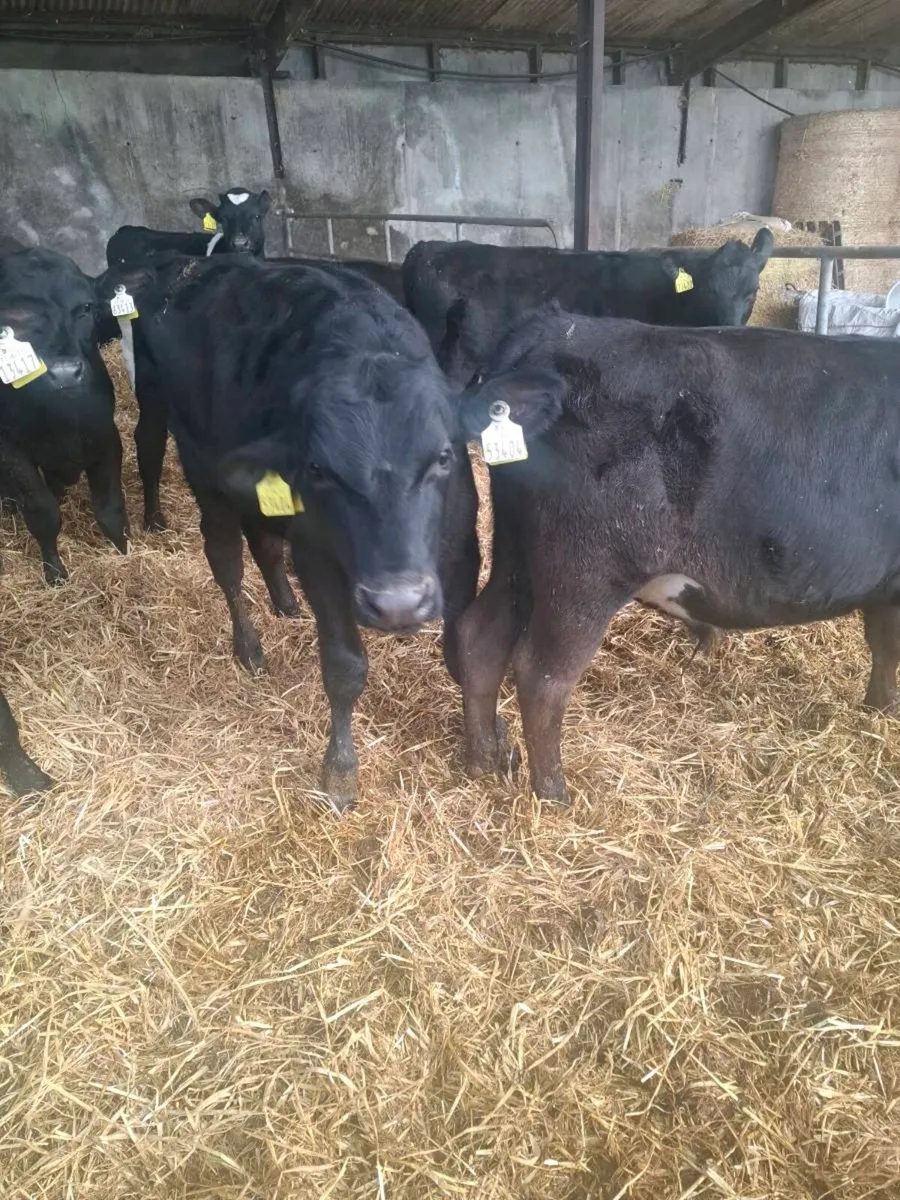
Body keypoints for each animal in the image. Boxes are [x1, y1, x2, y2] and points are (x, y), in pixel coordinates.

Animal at [0, 248, 129, 583]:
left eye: (85, 307)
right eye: (15, 319)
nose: (65, 372)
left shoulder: (105, 435)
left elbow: (110, 509)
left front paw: (127, 552)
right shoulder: (11, 451)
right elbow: (43, 513)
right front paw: (55, 573)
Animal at [100, 254, 479, 810]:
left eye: (443, 457)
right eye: (319, 469)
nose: (398, 604)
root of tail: (186, 266)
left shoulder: (461, 554)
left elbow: (466, 649)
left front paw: (490, 744)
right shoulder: (319, 559)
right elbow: (344, 668)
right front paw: (340, 772)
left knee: (264, 541)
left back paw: (284, 602)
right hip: (198, 460)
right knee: (225, 559)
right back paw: (250, 646)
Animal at [455, 306, 900, 805]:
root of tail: (559, 327)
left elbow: (883, 645)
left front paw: (879, 710)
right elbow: (890, 646)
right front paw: (885, 710)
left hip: (517, 556)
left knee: (481, 636)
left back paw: (484, 761)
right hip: (584, 575)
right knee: (541, 675)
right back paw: (553, 793)